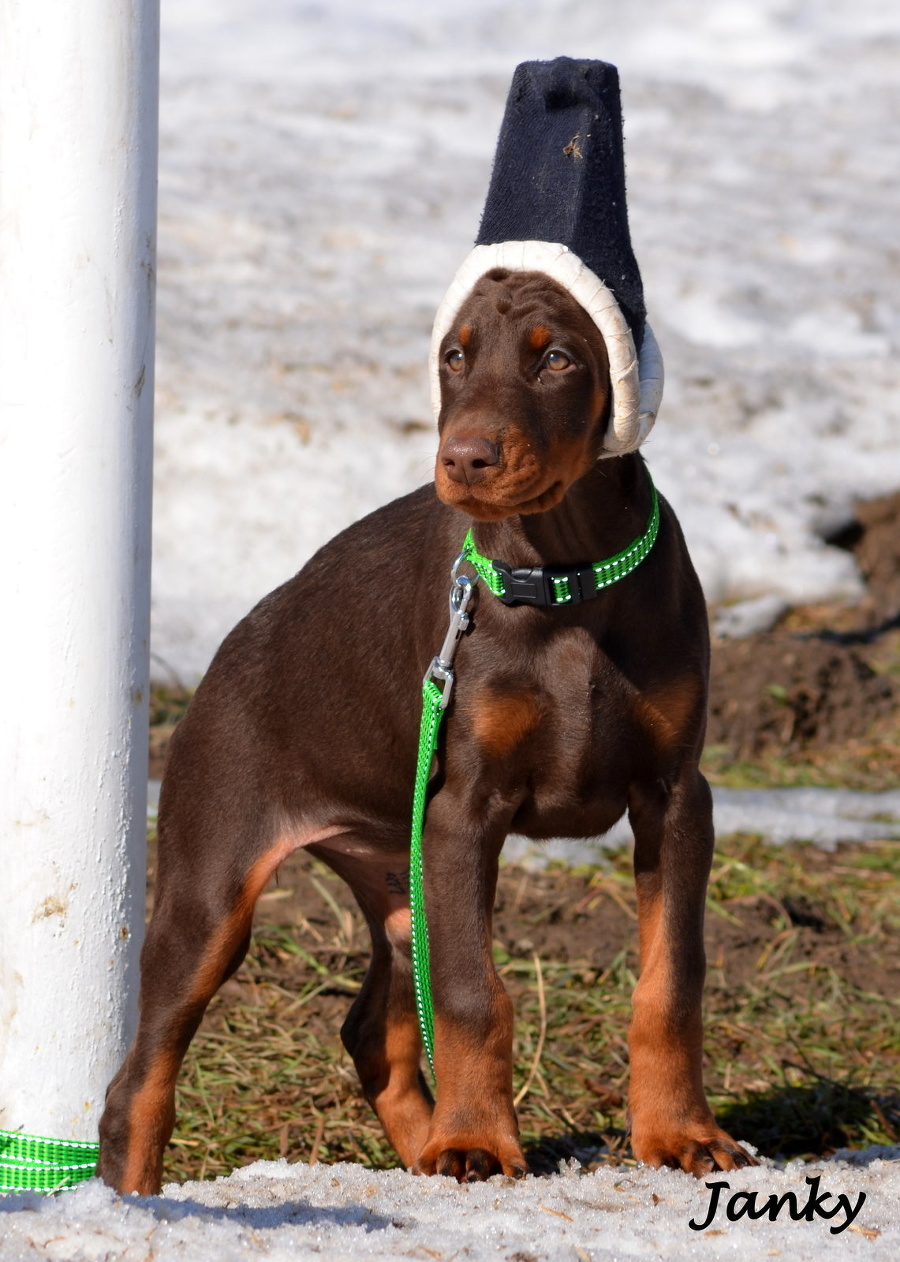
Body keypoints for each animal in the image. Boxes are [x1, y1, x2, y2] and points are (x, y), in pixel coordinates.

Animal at [98, 268, 752, 1191]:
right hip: (218, 883)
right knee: (141, 1079)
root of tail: (219, 661)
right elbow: (474, 993)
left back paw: (427, 1155)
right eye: (454, 356)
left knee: (374, 1032)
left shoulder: (675, 795)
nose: (464, 459)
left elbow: (673, 981)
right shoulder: (463, 809)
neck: (565, 575)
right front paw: (478, 1140)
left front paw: (680, 1134)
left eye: (558, 357)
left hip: (402, 874)